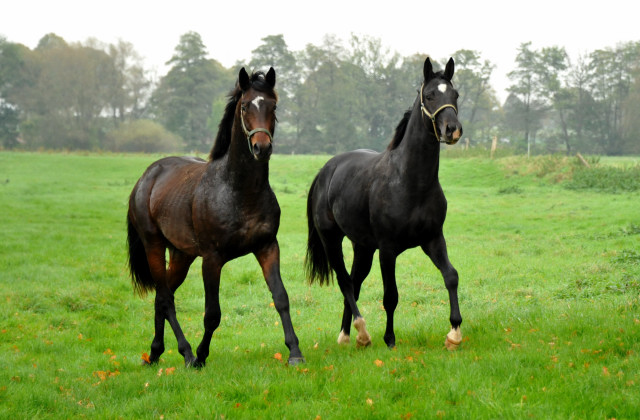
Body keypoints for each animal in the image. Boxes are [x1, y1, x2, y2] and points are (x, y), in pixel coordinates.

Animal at [127, 67, 304, 366]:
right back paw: (185, 353)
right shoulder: (212, 259)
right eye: (245, 106)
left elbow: (281, 298)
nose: (262, 148)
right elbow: (212, 314)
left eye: (273, 106)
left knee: (163, 297)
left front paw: (295, 353)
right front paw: (201, 355)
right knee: (165, 298)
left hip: (181, 255)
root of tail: (146, 177)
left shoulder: (268, 247)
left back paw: (155, 353)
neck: (238, 191)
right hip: (154, 246)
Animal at [306, 56, 462, 352]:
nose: (452, 130)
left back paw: (347, 335)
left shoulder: (434, 239)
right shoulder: (388, 250)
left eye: (455, 94)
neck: (410, 182)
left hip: (363, 247)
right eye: (429, 95)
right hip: (332, 240)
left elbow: (451, 276)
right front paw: (390, 339)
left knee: (354, 283)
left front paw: (454, 333)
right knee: (345, 282)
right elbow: (391, 295)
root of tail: (326, 171)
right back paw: (362, 333)